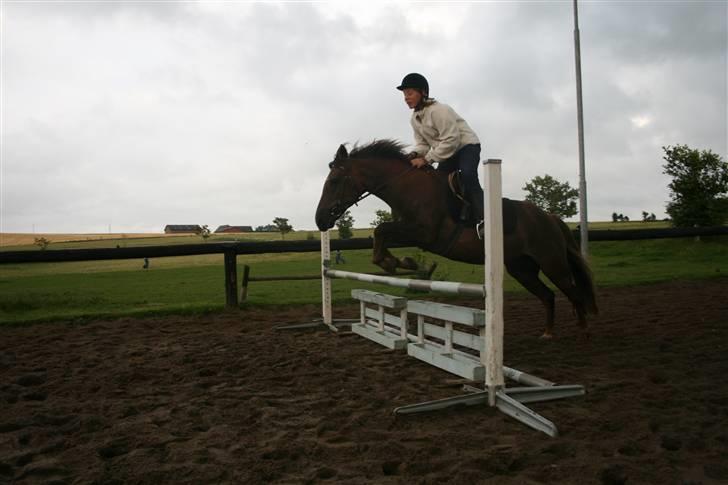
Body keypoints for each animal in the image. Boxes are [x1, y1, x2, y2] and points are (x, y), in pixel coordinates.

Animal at [316, 139, 600, 336]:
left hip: (552, 263)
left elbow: (381, 230)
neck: (409, 188)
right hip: (522, 268)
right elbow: (381, 234)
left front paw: (396, 263)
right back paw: (548, 333)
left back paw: (584, 331)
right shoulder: (409, 231)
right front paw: (402, 263)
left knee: (573, 292)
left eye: (334, 181)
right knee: (549, 296)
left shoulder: (425, 232)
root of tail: (550, 218)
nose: (320, 220)